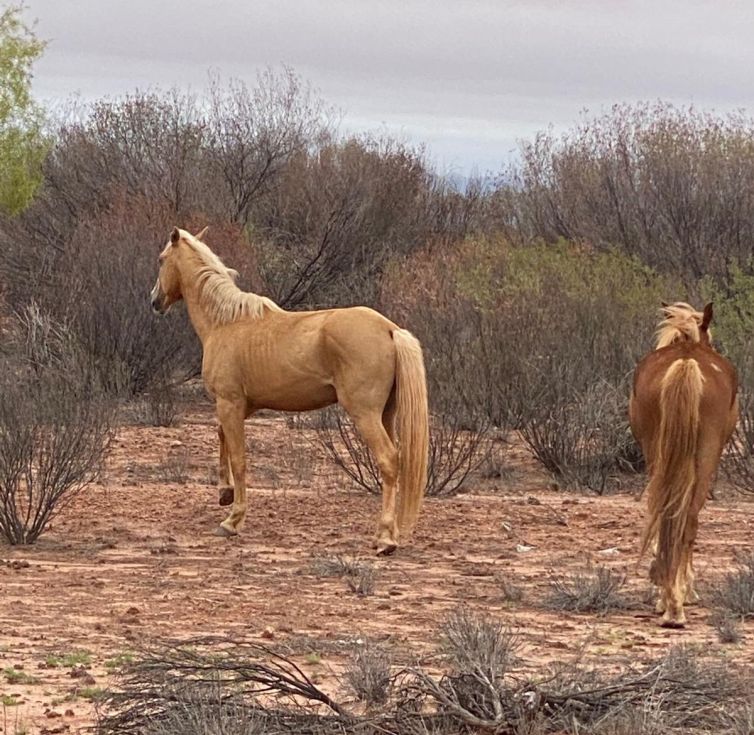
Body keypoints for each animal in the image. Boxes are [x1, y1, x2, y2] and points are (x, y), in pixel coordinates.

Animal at [151, 227, 428, 556]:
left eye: (162, 259)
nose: (154, 300)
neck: (226, 323)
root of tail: (390, 329)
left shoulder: (229, 402)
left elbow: (239, 459)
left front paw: (232, 520)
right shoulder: (242, 405)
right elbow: (221, 437)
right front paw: (224, 493)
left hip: (365, 415)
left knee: (388, 460)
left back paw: (385, 539)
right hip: (387, 414)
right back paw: (386, 534)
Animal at [628, 300, 736, 628]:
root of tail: (686, 362)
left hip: (658, 457)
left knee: (664, 514)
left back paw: (668, 598)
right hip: (705, 461)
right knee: (687, 520)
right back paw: (676, 605)